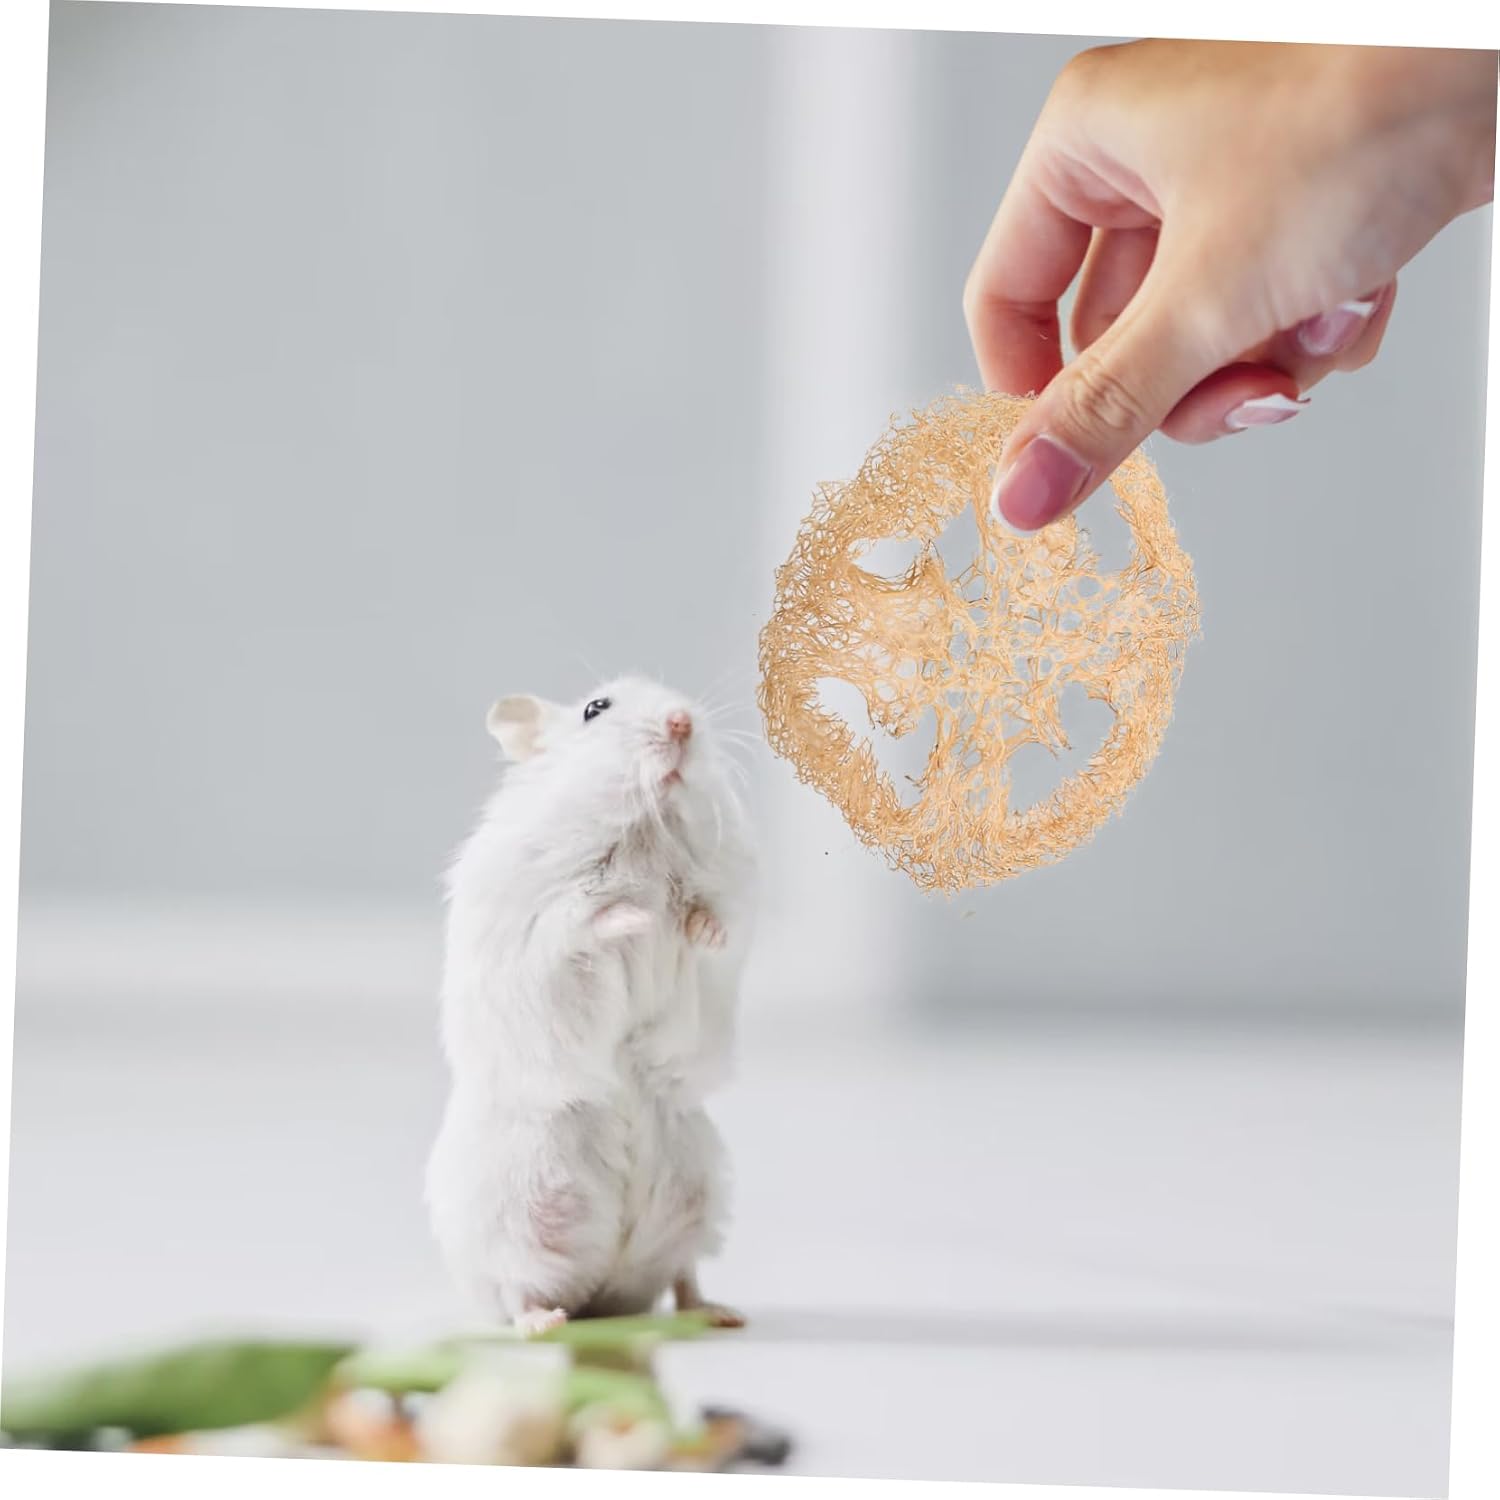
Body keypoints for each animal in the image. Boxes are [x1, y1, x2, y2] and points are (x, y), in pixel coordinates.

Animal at [424, 674, 756, 1335]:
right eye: (594, 709)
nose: (682, 722)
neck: (648, 827)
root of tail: (603, 1291)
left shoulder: (726, 899)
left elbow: (714, 925)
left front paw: (694, 926)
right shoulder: (541, 922)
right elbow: (584, 920)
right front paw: (638, 915)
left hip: (697, 1188)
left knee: (682, 1274)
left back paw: (720, 1314)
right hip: (512, 1210)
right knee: (516, 1286)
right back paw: (543, 1323)